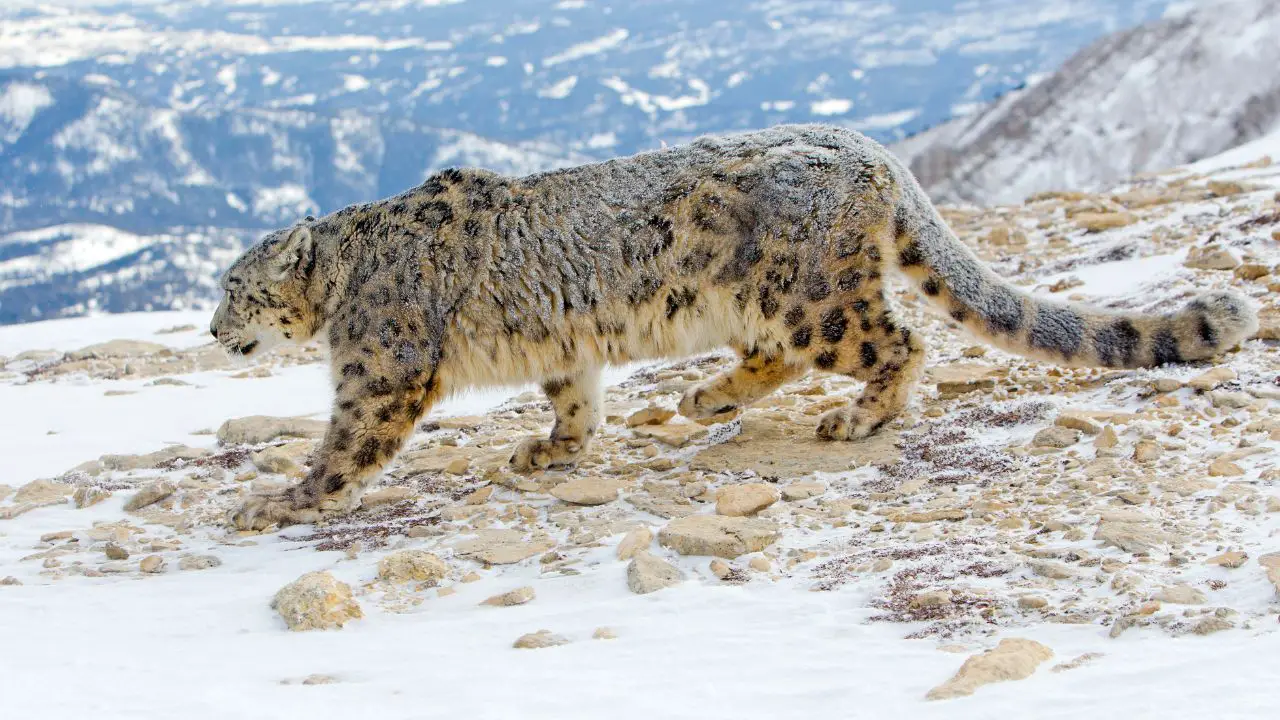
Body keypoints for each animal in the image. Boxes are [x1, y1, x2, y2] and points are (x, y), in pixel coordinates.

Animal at [212, 122, 1259, 527]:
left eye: (235, 288)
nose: (214, 331)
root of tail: (864, 145)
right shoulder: (565, 350)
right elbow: (574, 400)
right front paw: (549, 450)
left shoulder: (380, 367)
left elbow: (345, 441)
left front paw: (279, 501)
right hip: (764, 302)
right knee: (776, 356)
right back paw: (706, 396)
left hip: (811, 296)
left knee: (895, 341)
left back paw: (856, 416)